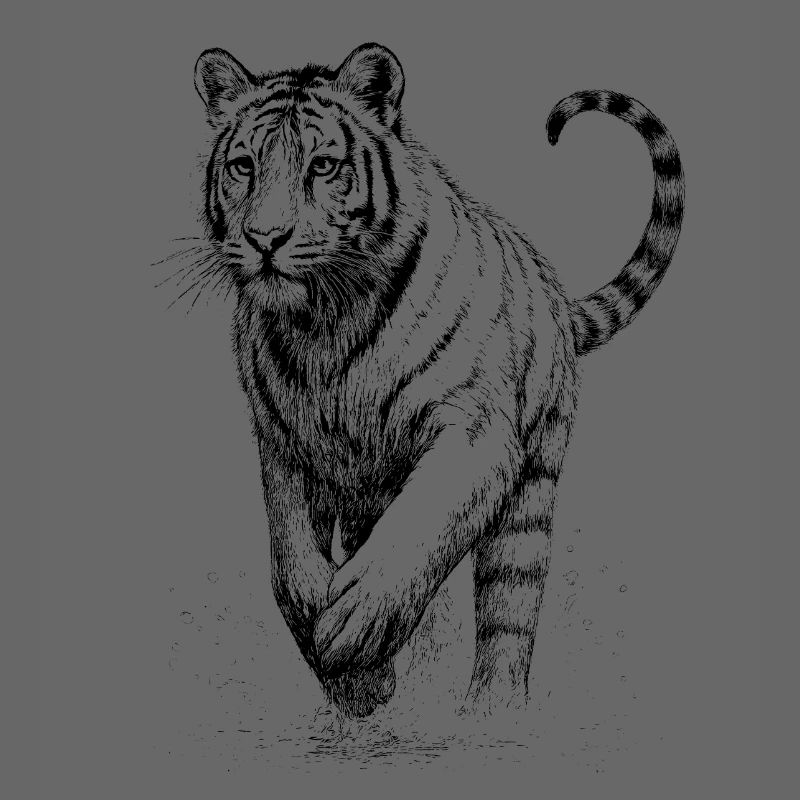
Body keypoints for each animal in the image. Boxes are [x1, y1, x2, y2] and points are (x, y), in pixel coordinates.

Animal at [185, 42, 684, 718]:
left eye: (322, 165)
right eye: (243, 166)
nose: (265, 239)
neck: (322, 324)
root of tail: (555, 295)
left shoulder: (475, 433)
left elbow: (418, 531)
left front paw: (356, 628)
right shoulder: (283, 443)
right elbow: (290, 564)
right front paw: (356, 681)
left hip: (532, 488)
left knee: (508, 606)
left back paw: (492, 713)